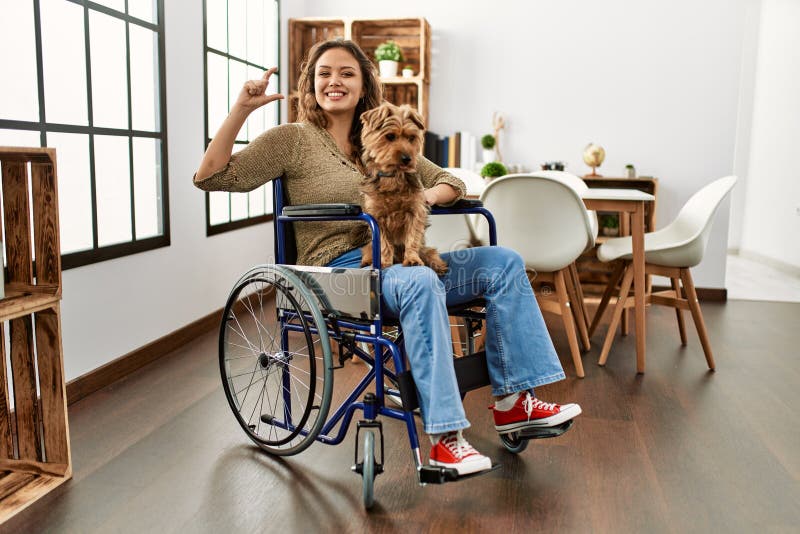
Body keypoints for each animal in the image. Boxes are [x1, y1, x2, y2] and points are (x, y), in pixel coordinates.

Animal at [358, 102, 446, 274]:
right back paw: (367, 261)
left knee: (430, 253)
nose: (407, 158)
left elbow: (412, 238)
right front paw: (384, 262)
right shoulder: (377, 216)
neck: (393, 176)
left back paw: (438, 265)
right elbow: (384, 243)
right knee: (368, 251)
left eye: (411, 138)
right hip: (369, 247)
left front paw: (412, 259)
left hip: (426, 249)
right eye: (390, 136)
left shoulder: (415, 211)